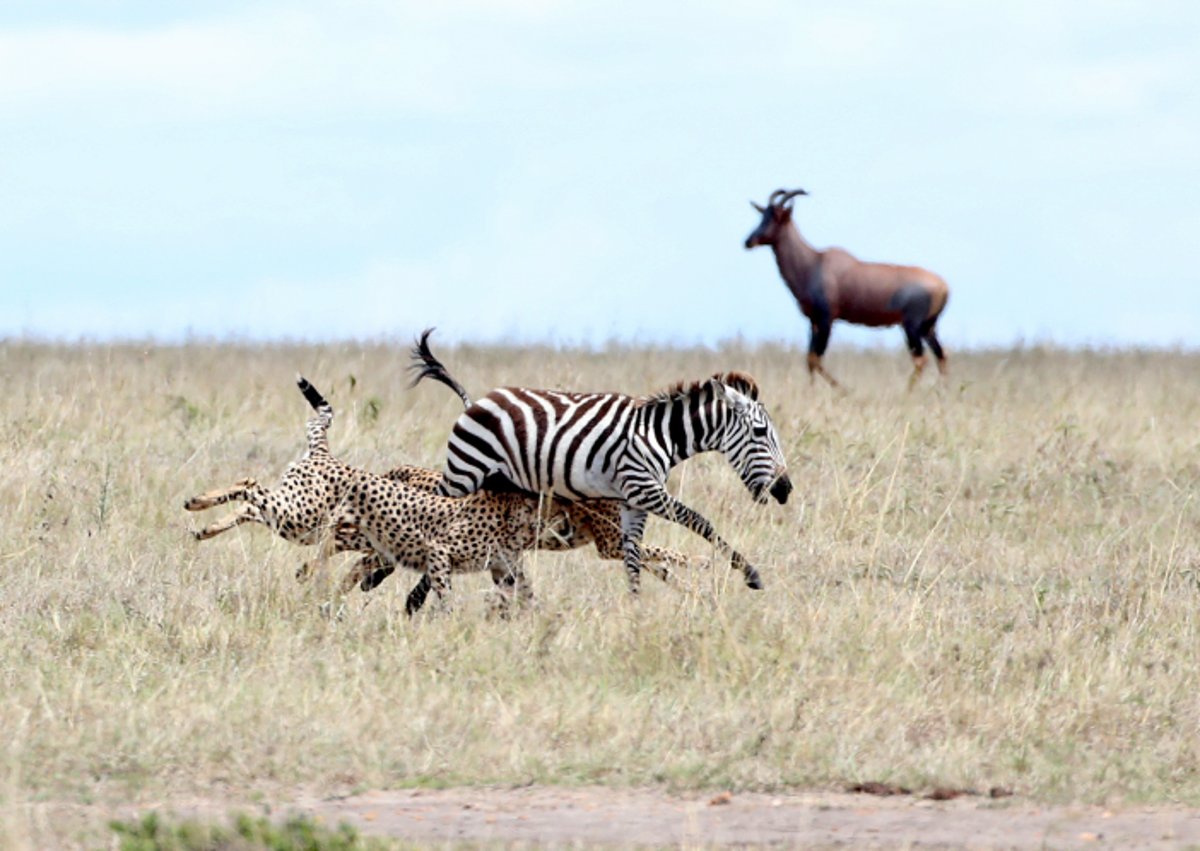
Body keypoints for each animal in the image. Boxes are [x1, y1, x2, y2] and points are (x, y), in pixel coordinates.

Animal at [182, 376, 681, 609]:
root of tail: (325, 455)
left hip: (300, 518)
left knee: (254, 500)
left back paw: (203, 523)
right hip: (299, 516)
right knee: (251, 490)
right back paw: (199, 509)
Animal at [412, 331, 796, 590]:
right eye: (761, 432)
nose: (786, 489)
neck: (661, 435)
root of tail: (477, 401)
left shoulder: (632, 502)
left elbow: (632, 557)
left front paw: (636, 613)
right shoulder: (643, 490)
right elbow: (700, 521)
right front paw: (750, 574)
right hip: (464, 473)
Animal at [739, 188, 945, 388]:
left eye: (777, 217)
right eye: (763, 215)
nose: (748, 242)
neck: (814, 262)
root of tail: (943, 287)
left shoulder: (827, 319)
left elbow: (815, 359)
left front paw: (843, 390)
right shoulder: (813, 321)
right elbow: (810, 359)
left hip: (912, 327)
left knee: (921, 359)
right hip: (928, 327)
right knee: (941, 356)